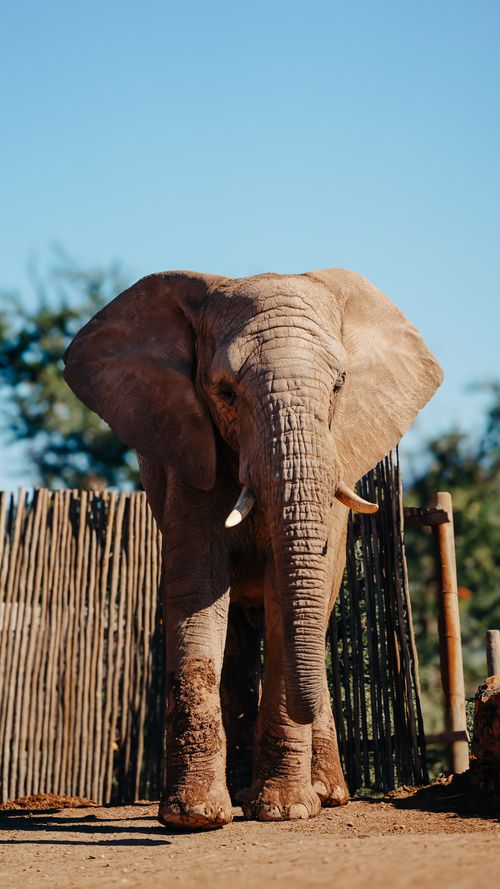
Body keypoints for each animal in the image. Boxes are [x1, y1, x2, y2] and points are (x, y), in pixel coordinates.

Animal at [63, 268, 443, 830]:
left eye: (339, 384)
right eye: (224, 390)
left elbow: (291, 596)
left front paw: (287, 810)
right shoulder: (188, 452)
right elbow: (199, 588)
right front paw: (195, 817)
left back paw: (326, 793)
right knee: (240, 640)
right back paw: (246, 790)